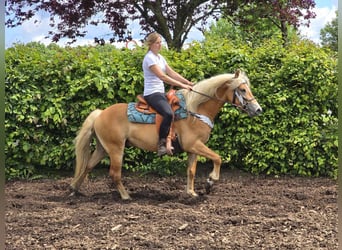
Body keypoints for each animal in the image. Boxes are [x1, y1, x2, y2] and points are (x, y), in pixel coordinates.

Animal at [69, 68, 262, 199]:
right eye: (242, 90)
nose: (258, 109)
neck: (195, 110)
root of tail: (100, 113)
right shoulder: (194, 144)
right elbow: (217, 157)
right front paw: (210, 181)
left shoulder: (193, 149)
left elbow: (191, 170)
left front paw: (191, 192)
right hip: (116, 149)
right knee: (114, 174)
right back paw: (125, 196)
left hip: (103, 148)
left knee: (87, 166)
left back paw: (73, 189)